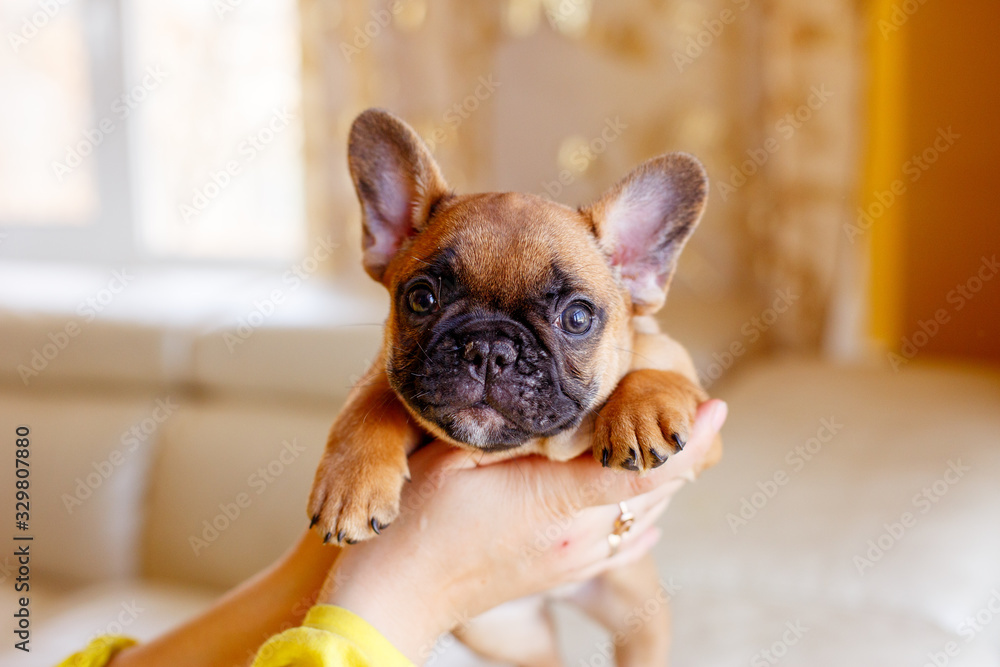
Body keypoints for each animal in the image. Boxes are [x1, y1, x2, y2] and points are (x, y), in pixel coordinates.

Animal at [304, 107, 720, 664]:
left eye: (577, 317)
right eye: (421, 299)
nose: (489, 349)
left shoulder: (705, 432)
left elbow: (657, 366)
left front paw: (640, 413)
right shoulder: (387, 375)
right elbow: (372, 402)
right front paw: (352, 485)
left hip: (637, 608)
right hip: (508, 635)